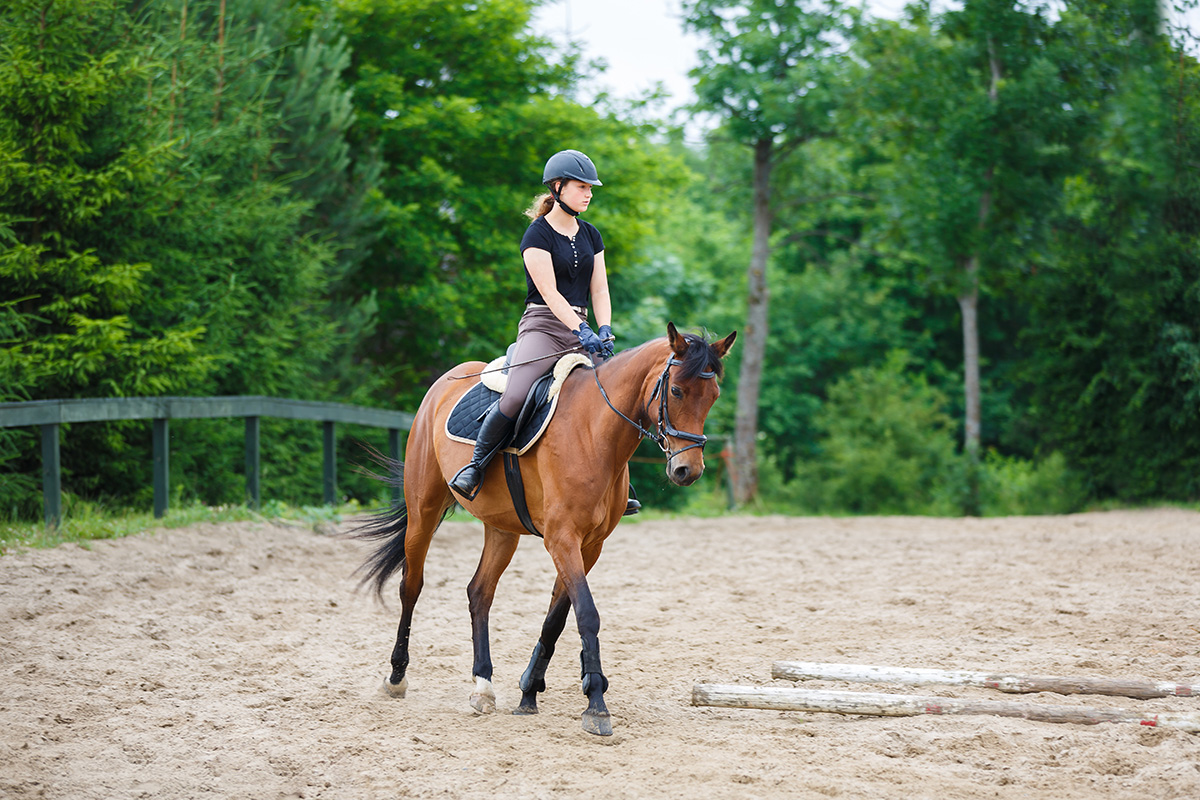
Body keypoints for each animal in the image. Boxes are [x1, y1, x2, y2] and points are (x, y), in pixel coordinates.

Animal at [350, 321, 734, 734]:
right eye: (676, 390)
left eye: (713, 396)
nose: (687, 471)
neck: (594, 430)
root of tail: (445, 382)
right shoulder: (562, 539)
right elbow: (587, 614)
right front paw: (596, 705)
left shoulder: (590, 545)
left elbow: (558, 618)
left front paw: (529, 692)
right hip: (424, 509)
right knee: (411, 586)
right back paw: (396, 677)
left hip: (502, 529)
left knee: (479, 592)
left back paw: (483, 685)